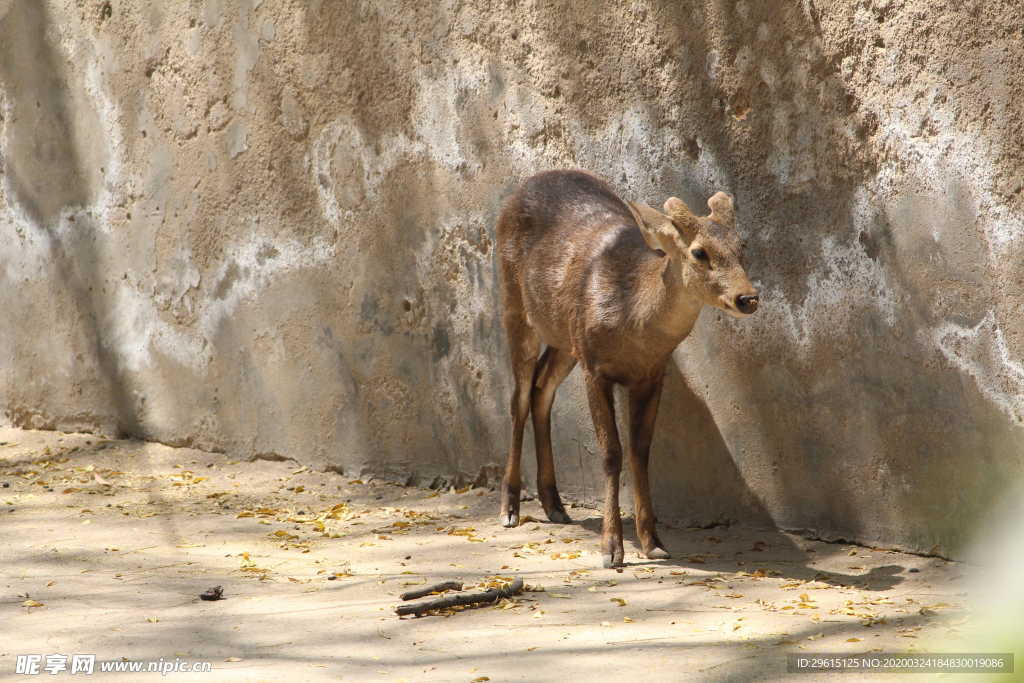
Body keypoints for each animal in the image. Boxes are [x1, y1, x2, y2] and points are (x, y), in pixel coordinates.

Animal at [495, 169, 761, 565]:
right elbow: (611, 453)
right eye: (699, 252)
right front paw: (611, 548)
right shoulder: (595, 369)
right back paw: (510, 508)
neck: (632, 323)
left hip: (565, 337)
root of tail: (526, 184)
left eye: (742, 246)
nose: (748, 298)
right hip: (514, 303)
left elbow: (640, 450)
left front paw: (653, 542)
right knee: (519, 398)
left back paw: (555, 504)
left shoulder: (652, 374)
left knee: (542, 389)